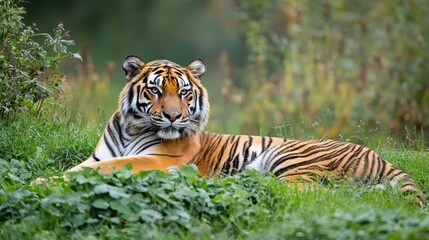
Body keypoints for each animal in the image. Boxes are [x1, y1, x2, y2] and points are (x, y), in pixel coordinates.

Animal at [67, 55, 424, 205]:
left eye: (184, 93)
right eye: (154, 91)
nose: (172, 117)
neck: (132, 128)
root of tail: (378, 156)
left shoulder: (161, 160)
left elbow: (115, 166)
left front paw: (57, 180)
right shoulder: (96, 156)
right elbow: (88, 167)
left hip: (292, 159)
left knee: (316, 193)